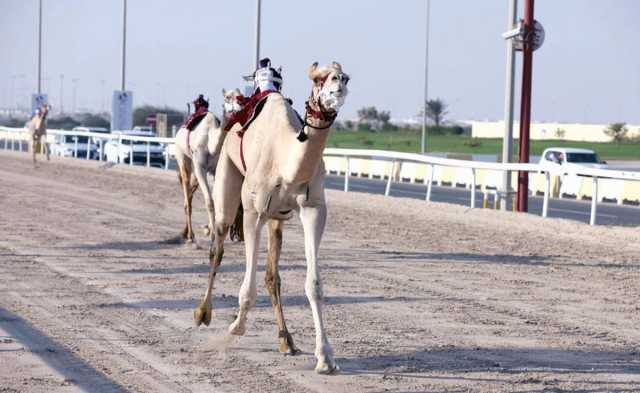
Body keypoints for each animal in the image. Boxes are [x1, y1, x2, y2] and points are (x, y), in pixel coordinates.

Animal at [195, 61, 350, 374]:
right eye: (319, 78)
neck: (286, 159)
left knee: (271, 275)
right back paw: (203, 312)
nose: (338, 83)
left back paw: (286, 340)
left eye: (346, 77)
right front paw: (235, 327)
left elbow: (314, 285)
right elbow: (247, 288)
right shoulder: (253, 211)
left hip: (277, 217)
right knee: (217, 247)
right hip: (227, 184)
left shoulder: (314, 209)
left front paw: (325, 357)